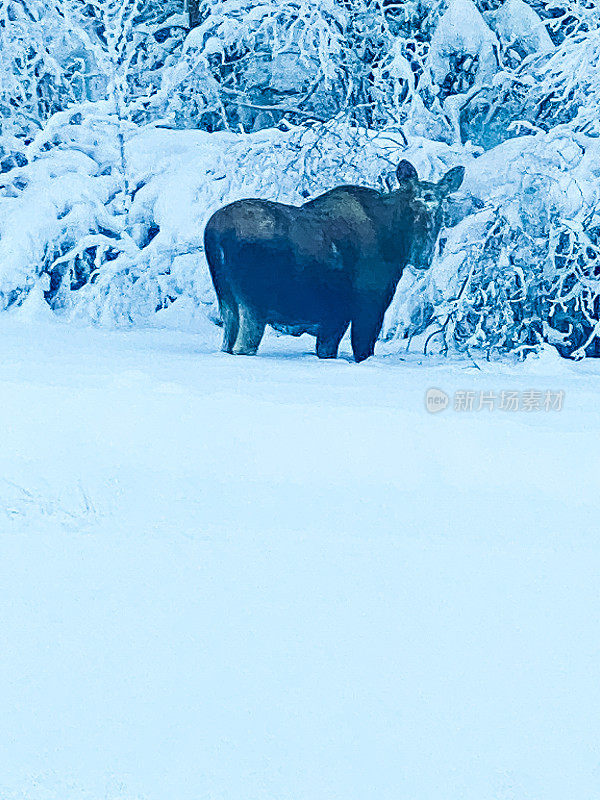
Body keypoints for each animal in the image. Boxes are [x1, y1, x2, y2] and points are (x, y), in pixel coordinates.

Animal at [203, 161, 464, 360]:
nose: (423, 257)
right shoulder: (367, 306)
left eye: (441, 211)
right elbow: (361, 350)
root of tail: (213, 232)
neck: (393, 244)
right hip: (253, 306)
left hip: (227, 302)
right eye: (412, 209)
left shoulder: (334, 315)